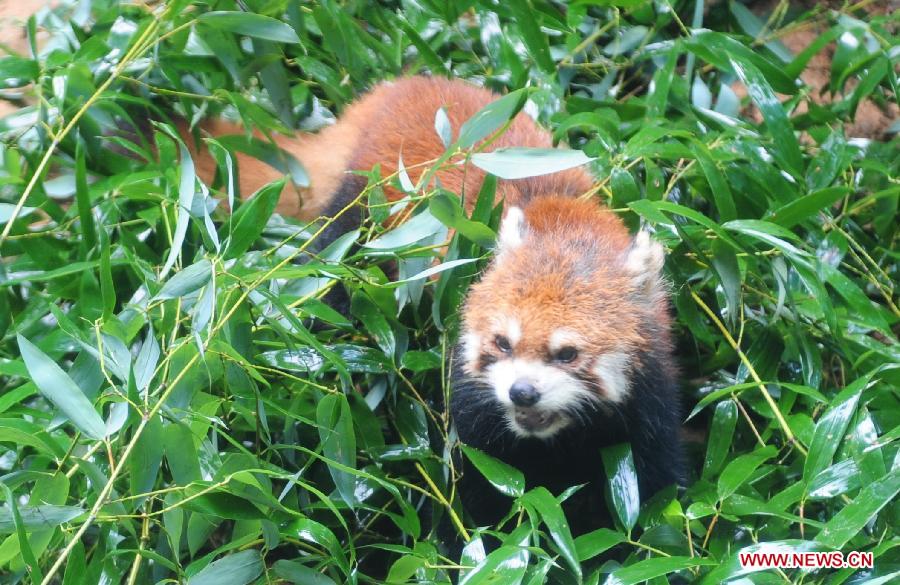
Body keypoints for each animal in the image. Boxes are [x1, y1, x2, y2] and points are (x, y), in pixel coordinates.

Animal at [192, 75, 684, 532]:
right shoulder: (471, 404)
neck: (563, 218)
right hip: (362, 222)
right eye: (502, 343)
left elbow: (652, 488)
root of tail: (403, 85)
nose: (521, 391)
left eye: (567, 354)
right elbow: (471, 492)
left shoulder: (648, 403)